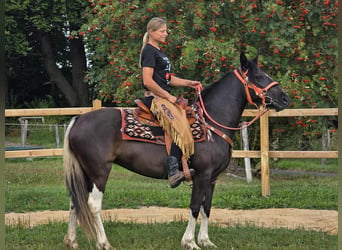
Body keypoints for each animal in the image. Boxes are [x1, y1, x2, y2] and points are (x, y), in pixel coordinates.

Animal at [63, 51, 288, 249]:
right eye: (259, 76)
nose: (285, 98)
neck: (210, 124)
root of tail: (79, 119)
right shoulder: (202, 175)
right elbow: (195, 207)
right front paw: (190, 242)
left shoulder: (213, 178)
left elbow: (207, 207)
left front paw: (206, 241)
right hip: (99, 171)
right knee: (93, 204)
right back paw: (104, 243)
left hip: (84, 171)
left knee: (76, 200)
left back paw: (72, 241)